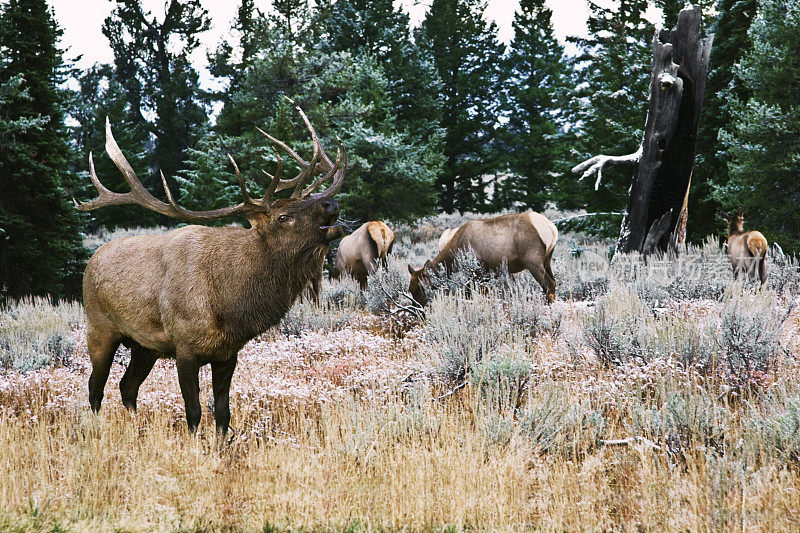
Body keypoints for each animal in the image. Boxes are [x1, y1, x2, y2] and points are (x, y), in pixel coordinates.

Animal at [76, 102, 346, 434]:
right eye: (284, 217)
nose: (331, 204)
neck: (230, 305)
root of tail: (92, 260)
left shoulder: (228, 354)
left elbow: (223, 414)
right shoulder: (185, 349)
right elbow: (193, 414)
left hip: (145, 346)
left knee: (127, 386)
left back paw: (138, 430)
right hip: (99, 328)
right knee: (95, 388)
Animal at [406, 211, 556, 304]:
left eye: (422, 287)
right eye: (410, 290)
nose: (419, 311)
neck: (457, 246)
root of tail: (551, 228)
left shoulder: (479, 269)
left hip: (532, 260)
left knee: (548, 284)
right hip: (547, 260)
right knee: (554, 282)